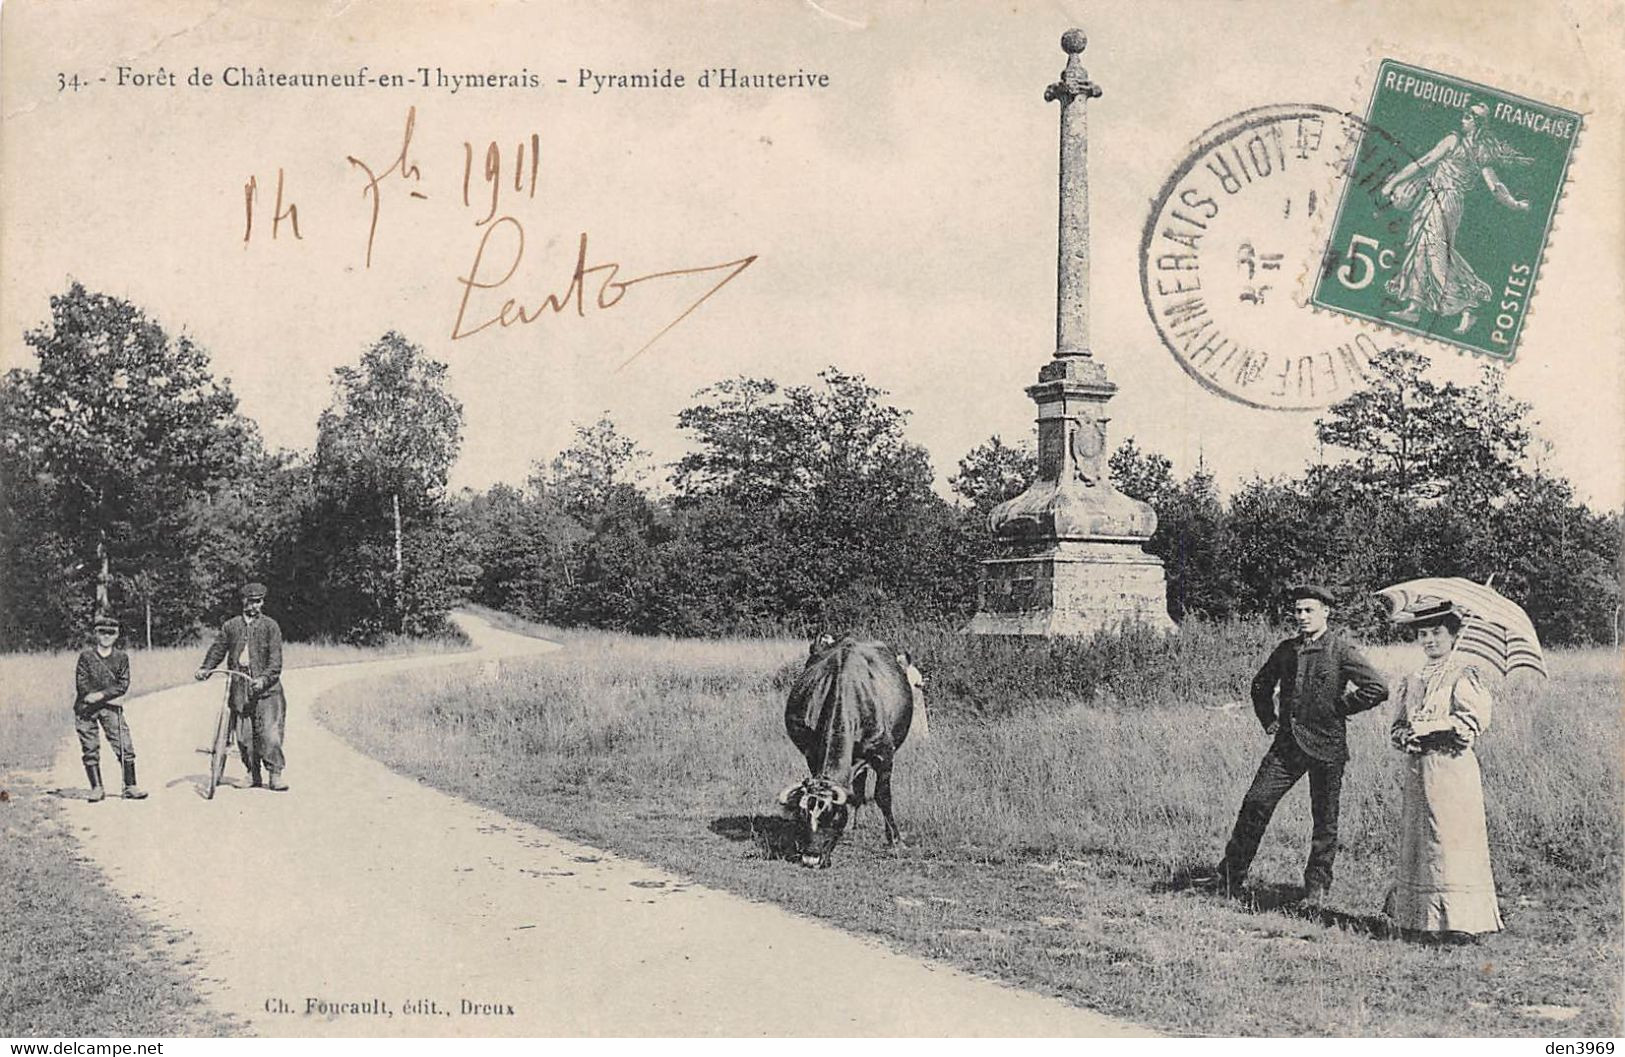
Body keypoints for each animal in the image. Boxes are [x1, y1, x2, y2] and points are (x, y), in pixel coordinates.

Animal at [776, 634, 916, 865]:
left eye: (833, 817)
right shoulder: (812, 754)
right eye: (802, 817)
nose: (810, 857)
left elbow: (883, 796)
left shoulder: (884, 754)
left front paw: (895, 840)